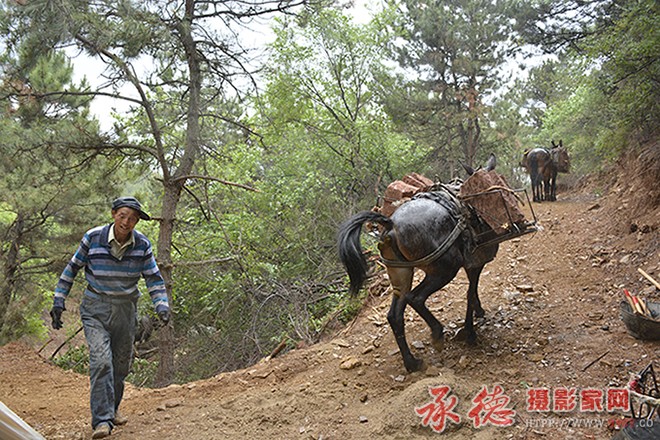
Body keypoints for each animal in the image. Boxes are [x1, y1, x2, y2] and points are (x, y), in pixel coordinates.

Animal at [337, 155, 500, 372]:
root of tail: (391, 223)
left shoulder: (471, 265)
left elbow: (471, 294)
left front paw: (476, 317)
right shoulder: (475, 263)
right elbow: (470, 294)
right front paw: (470, 333)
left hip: (401, 274)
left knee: (394, 315)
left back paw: (412, 362)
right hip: (444, 270)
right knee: (416, 298)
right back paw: (437, 335)